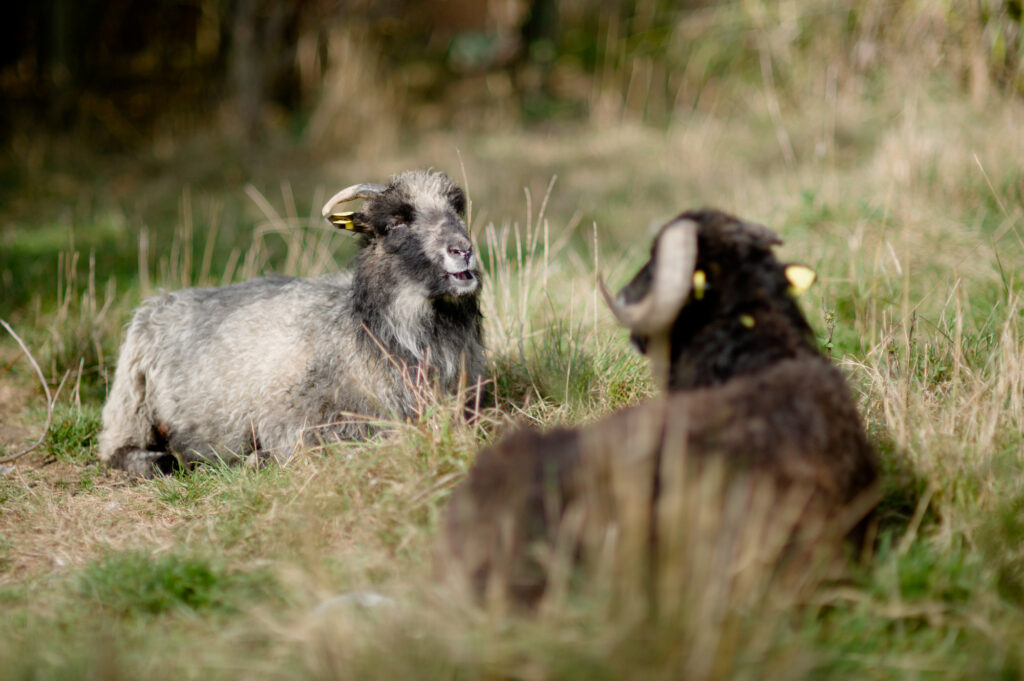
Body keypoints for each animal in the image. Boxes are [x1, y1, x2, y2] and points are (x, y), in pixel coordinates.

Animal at [98, 169, 485, 477]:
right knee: (118, 449)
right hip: (130, 403)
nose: (463, 249)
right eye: (393, 224)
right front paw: (253, 459)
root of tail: (162, 301)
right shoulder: (294, 422)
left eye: (456, 210)